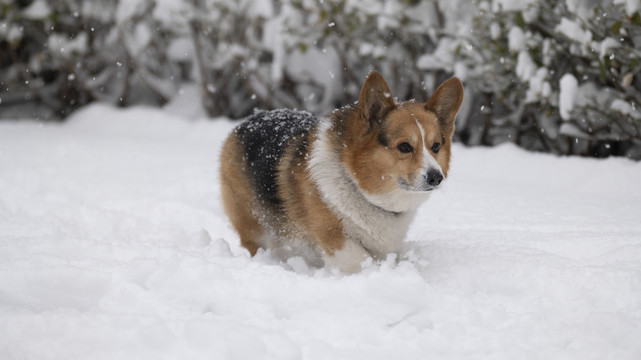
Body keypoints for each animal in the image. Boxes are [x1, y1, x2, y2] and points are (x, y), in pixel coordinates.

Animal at [220, 71, 460, 272]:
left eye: (436, 146)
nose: (436, 177)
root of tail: (248, 121)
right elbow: (358, 259)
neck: (359, 188)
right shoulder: (334, 237)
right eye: (404, 147)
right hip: (253, 223)